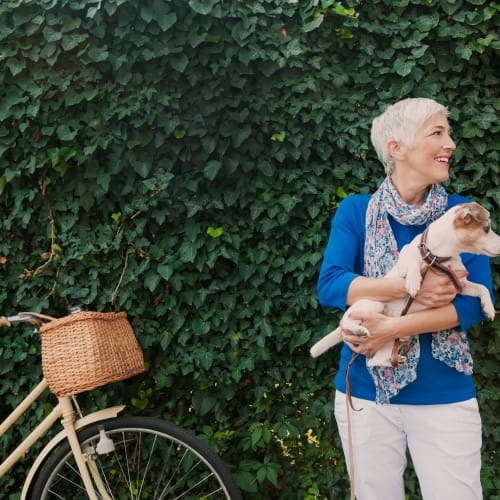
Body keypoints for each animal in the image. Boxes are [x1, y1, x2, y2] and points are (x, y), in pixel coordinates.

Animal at [310, 202, 500, 368]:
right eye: (487, 228)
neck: (436, 257)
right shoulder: (404, 263)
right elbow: (412, 263)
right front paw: (414, 282)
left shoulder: (460, 284)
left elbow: (482, 288)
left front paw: (488, 308)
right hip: (373, 305)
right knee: (346, 321)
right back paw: (359, 330)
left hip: (387, 339)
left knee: (375, 361)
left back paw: (395, 358)